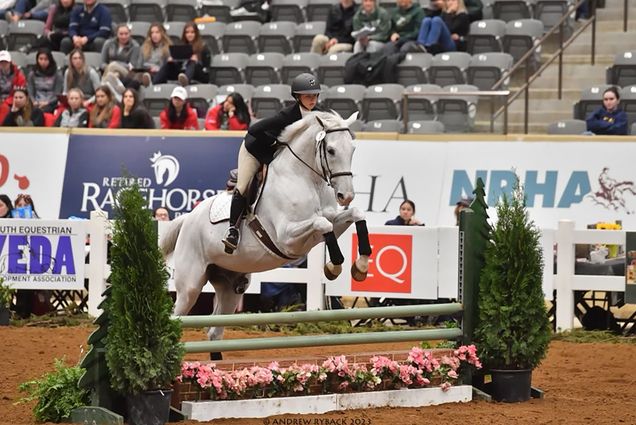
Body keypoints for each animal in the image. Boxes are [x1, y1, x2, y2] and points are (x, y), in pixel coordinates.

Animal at [160, 109, 372, 354]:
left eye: (352, 149)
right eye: (331, 150)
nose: (346, 196)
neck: (306, 179)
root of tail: (188, 218)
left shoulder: (324, 227)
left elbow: (354, 215)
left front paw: (360, 266)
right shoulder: (287, 238)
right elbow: (322, 224)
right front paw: (333, 268)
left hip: (230, 287)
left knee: (214, 331)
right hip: (190, 286)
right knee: (177, 316)